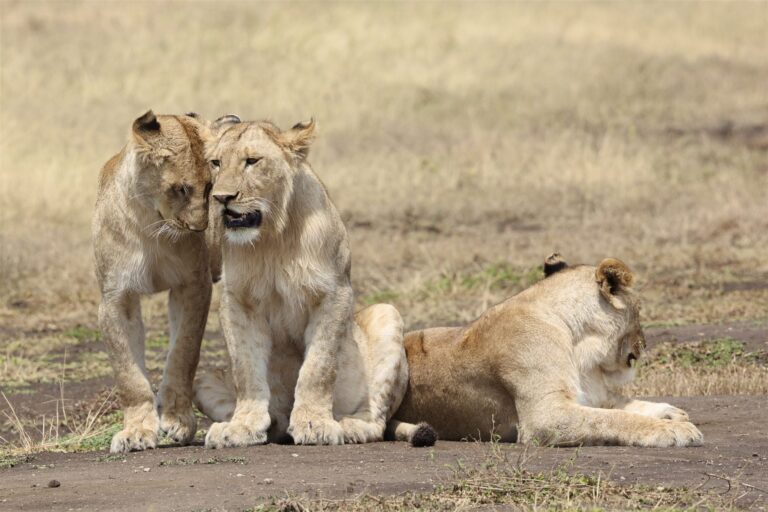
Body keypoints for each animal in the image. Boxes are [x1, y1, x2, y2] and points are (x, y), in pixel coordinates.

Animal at [93, 111, 238, 453]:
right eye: (181, 189)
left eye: (210, 186)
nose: (200, 229)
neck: (151, 226)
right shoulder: (115, 298)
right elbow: (128, 373)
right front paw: (136, 431)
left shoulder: (193, 286)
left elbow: (184, 352)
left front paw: (177, 419)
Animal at [194, 118, 436, 447]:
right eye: (216, 163)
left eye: (252, 161)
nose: (221, 198)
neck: (273, 237)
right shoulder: (237, 301)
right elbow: (246, 370)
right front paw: (243, 426)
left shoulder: (334, 293)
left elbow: (318, 366)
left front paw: (314, 423)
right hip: (202, 379)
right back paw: (274, 423)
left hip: (387, 313)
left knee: (379, 419)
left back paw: (351, 426)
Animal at [391, 255, 704, 448]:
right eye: (639, 311)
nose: (644, 343)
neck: (578, 343)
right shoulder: (546, 416)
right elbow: (615, 418)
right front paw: (674, 430)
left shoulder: (588, 394)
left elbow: (623, 404)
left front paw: (670, 414)